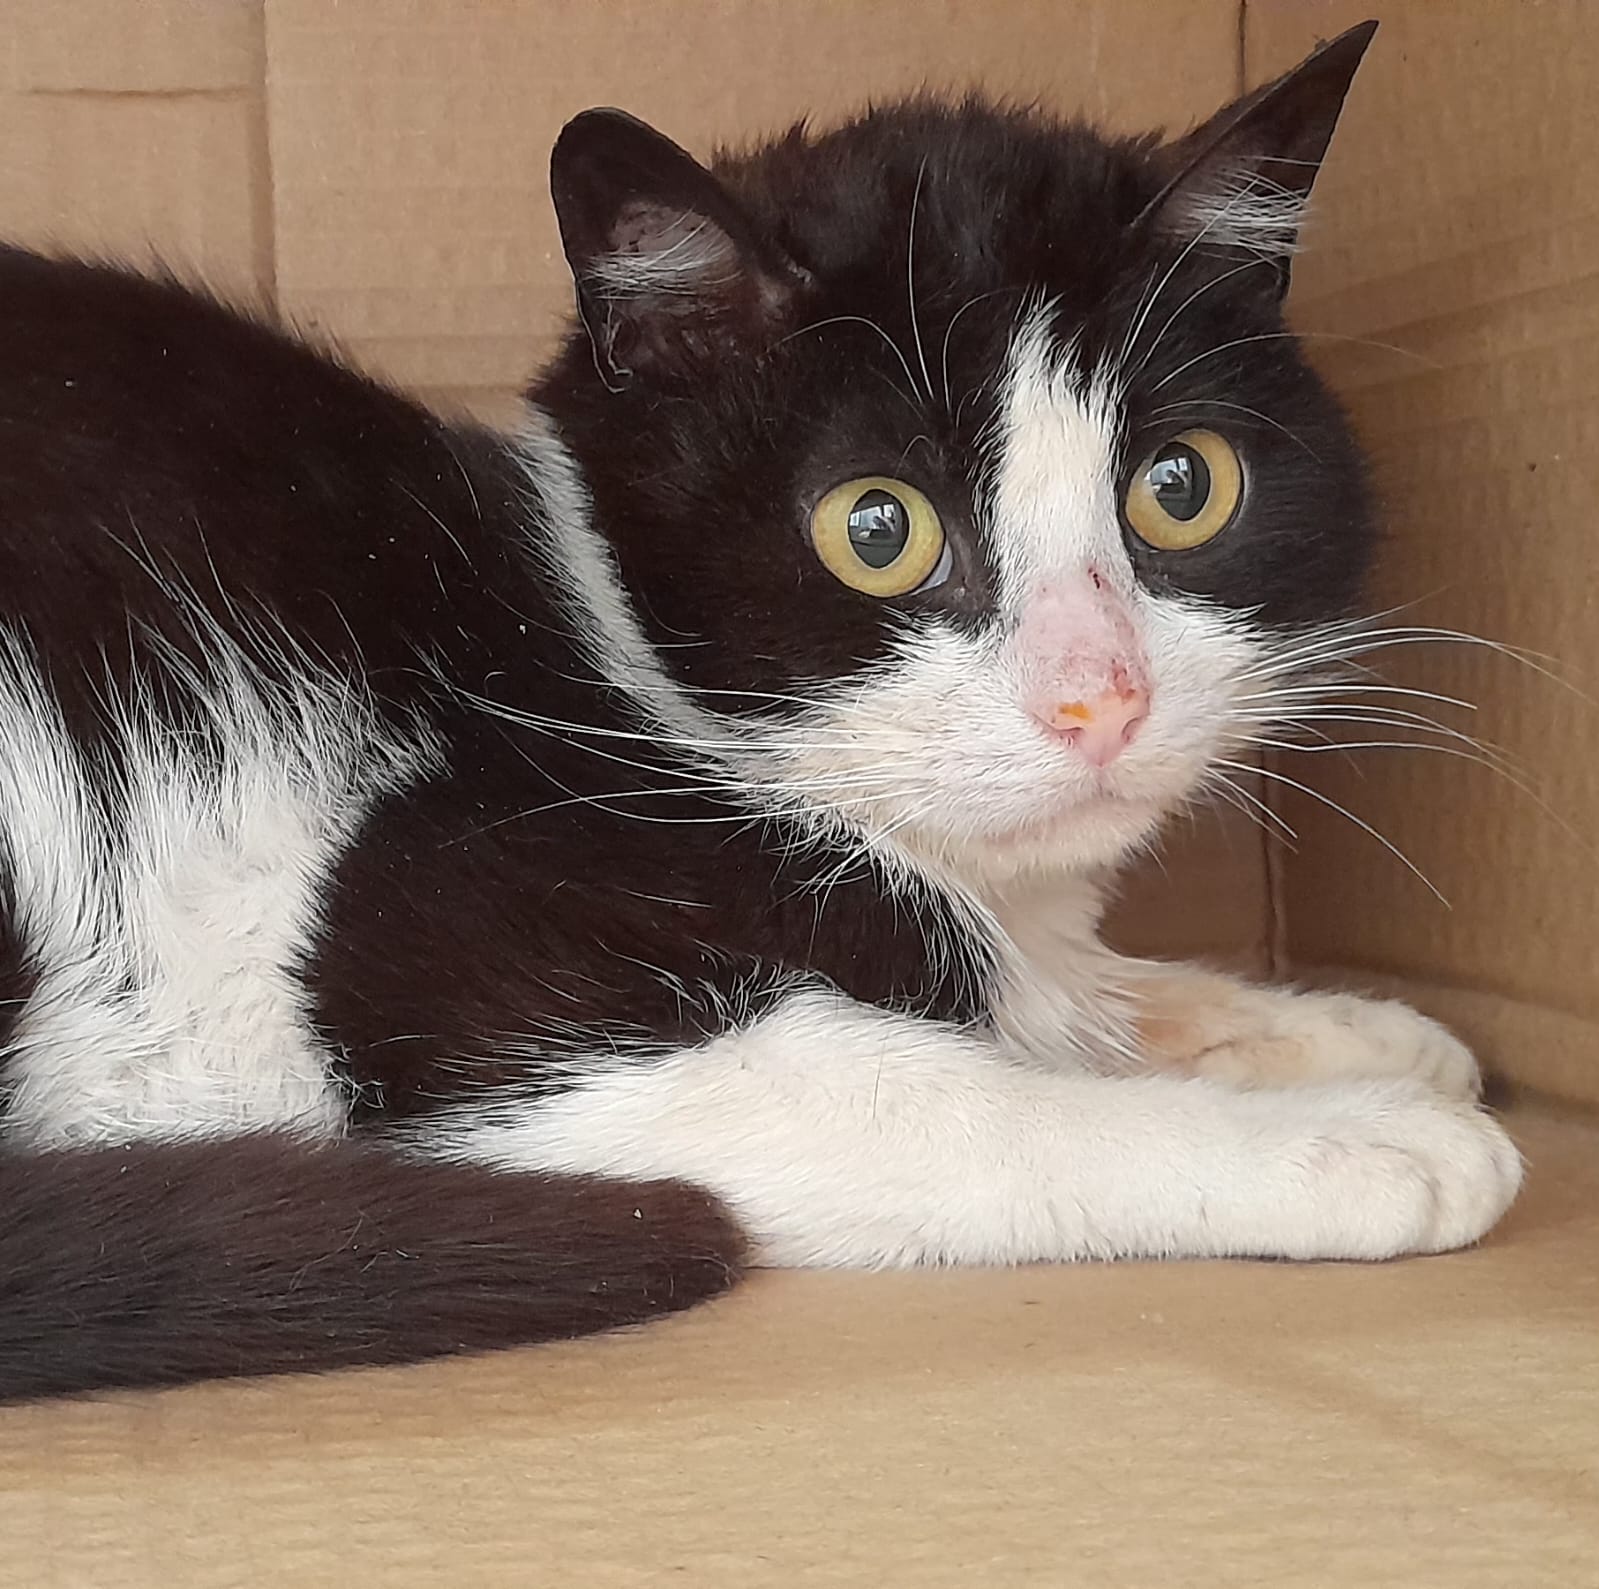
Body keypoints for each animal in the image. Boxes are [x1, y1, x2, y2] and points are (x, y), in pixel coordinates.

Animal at [0, 18, 1521, 1402]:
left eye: (1182, 486)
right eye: (876, 527)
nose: (1102, 697)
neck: (610, 664)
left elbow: (1067, 989)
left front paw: (1356, 1033)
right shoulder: (446, 953)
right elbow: (953, 1095)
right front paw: (1358, 1137)